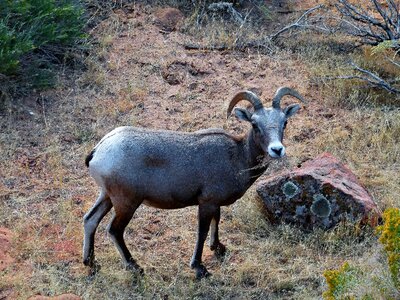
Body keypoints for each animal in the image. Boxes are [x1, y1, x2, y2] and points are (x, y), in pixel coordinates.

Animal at [83, 86, 304, 278]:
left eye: (284, 122)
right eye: (255, 124)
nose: (277, 149)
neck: (237, 156)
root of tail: (98, 151)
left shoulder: (214, 204)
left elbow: (216, 221)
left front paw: (218, 248)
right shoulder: (206, 204)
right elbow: (202, 232)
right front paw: (199, 268)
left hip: (107, 197)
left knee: (90, 220)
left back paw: (90, 262)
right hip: (126, 203)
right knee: (114, 230)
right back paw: (135, 266)